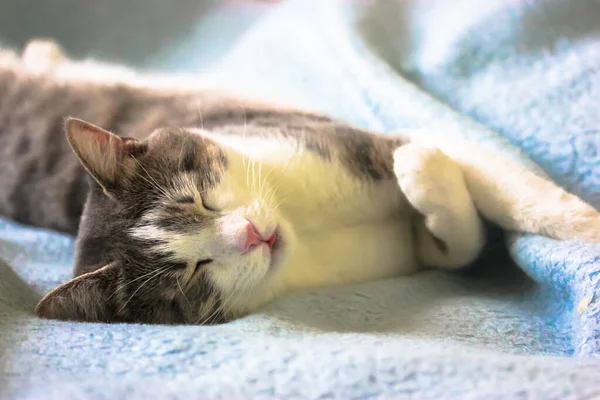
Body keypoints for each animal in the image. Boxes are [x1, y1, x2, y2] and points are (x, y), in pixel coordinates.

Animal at [4, 39, 600, 324]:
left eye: (199, 199)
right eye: (191, 273)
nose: (251, 235)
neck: (302, 226)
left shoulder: (334, 140)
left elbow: (506, 188)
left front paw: (585, 225)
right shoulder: (409, 253)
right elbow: (457, 242)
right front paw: (421, 171)